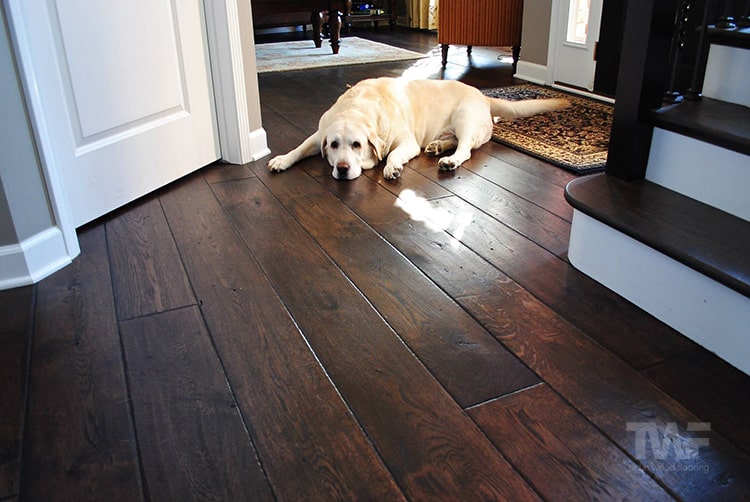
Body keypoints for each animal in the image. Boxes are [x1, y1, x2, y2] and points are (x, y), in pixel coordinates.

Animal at [268, 76, 568, 180]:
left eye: (357, 145)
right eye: (333, 145)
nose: (341, 169)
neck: (358, 106)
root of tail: (483, 96)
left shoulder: (406, 142)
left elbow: (392, 154)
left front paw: (391, 167)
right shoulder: (319, 133)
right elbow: (299, 148)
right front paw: (282, 160)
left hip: (465, 116)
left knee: (466, 149)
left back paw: (449, 160)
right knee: (455, 141)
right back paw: (437, 146)